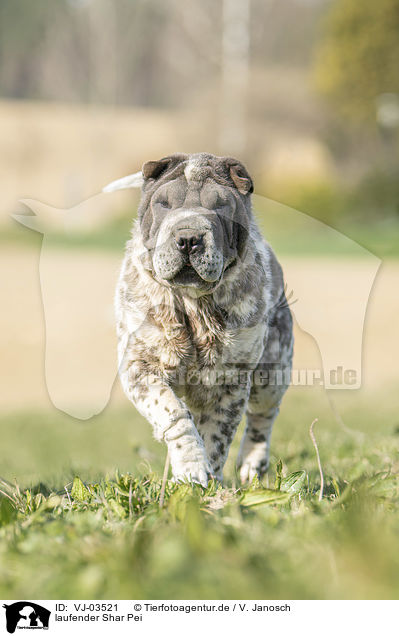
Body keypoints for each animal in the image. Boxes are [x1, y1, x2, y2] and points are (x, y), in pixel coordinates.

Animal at [108, 152, 294, 484]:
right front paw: (191, 471)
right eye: (164, 204)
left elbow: (217, 436)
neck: (193, 304)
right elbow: (173, 413)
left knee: (263, 415)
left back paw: (252, 465)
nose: (188, 238)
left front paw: (206, 480)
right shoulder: (139, 366)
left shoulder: (229, 382)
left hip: (274, 368)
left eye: (220, 205)